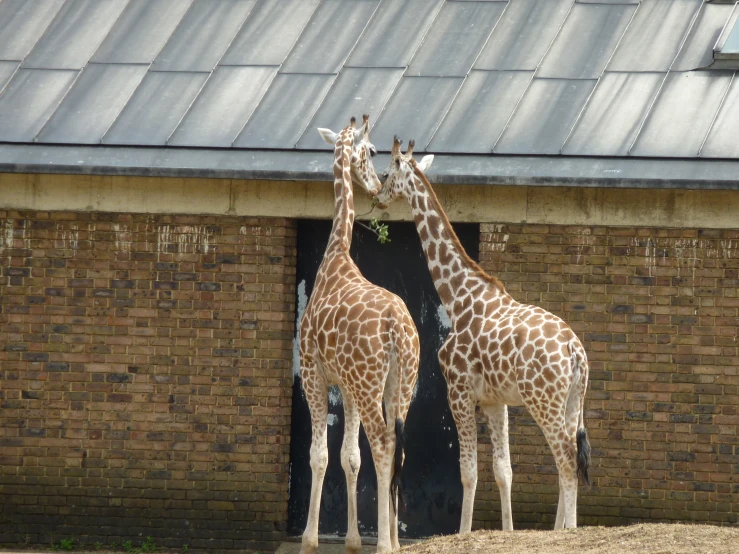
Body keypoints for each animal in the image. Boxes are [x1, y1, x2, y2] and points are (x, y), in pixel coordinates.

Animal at [298, 117, 420, 552]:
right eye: (371, 150)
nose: (375, 183)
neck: (336, 254)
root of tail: (398, 328)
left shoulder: (313, 373)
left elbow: (319, 455)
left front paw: (309, 539)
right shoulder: (346, 386)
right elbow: (350, 457)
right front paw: (351, 539)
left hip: (371, 386)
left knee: (383, 445)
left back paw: (383, 543)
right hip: (401, 385)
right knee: (397, 448)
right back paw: (395, 542)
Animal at [376, 137, 588, 532]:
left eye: (385, 172)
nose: (378, 198)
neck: (458, 297)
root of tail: (574, 350)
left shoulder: (458, 391)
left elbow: (468, 472)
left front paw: (462, 532)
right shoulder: (494, 400)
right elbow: (504, 471)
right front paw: (508, 530)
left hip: (544, 400)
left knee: (566, 459)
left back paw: (567, 531)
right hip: (572, 401)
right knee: (569, 460)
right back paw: (561, 528)